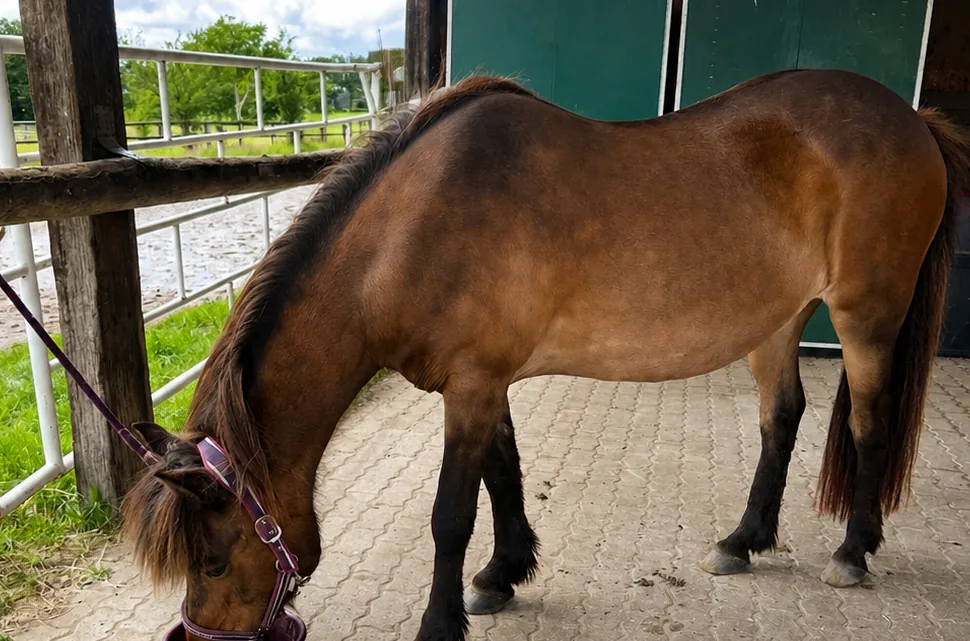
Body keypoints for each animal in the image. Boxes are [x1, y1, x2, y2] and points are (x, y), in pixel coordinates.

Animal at [122, 68, 969, 641]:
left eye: (212, 561)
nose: (198, 637)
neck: (411, 230)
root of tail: (914, 119)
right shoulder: (482, 380)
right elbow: (505, 474)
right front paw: (503, 574)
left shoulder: (470, 383)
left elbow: (452, 512)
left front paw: (442, 618)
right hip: (780, 319)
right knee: (782, 417)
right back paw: (743, 539)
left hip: (866, 317)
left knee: (868, 426)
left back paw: (854, 550)